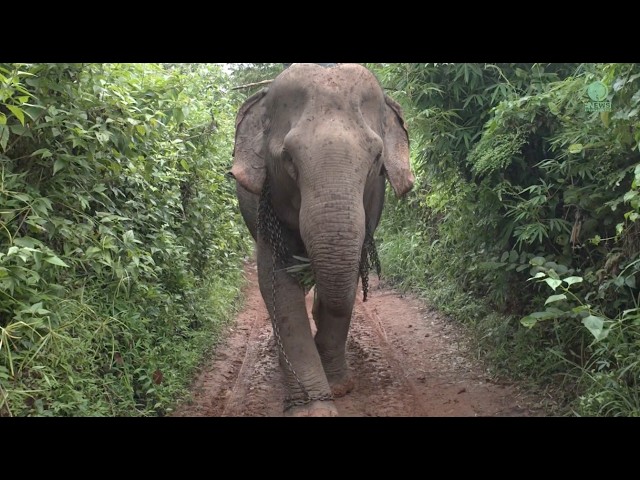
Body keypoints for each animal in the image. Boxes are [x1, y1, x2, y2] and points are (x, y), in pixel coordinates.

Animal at [230, 63, 414, 417]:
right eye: (288, 158)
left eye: (376, 157)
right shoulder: (266, 209)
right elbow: (277, 285)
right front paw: (311, 406)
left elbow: (347, 279)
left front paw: (339, 386)